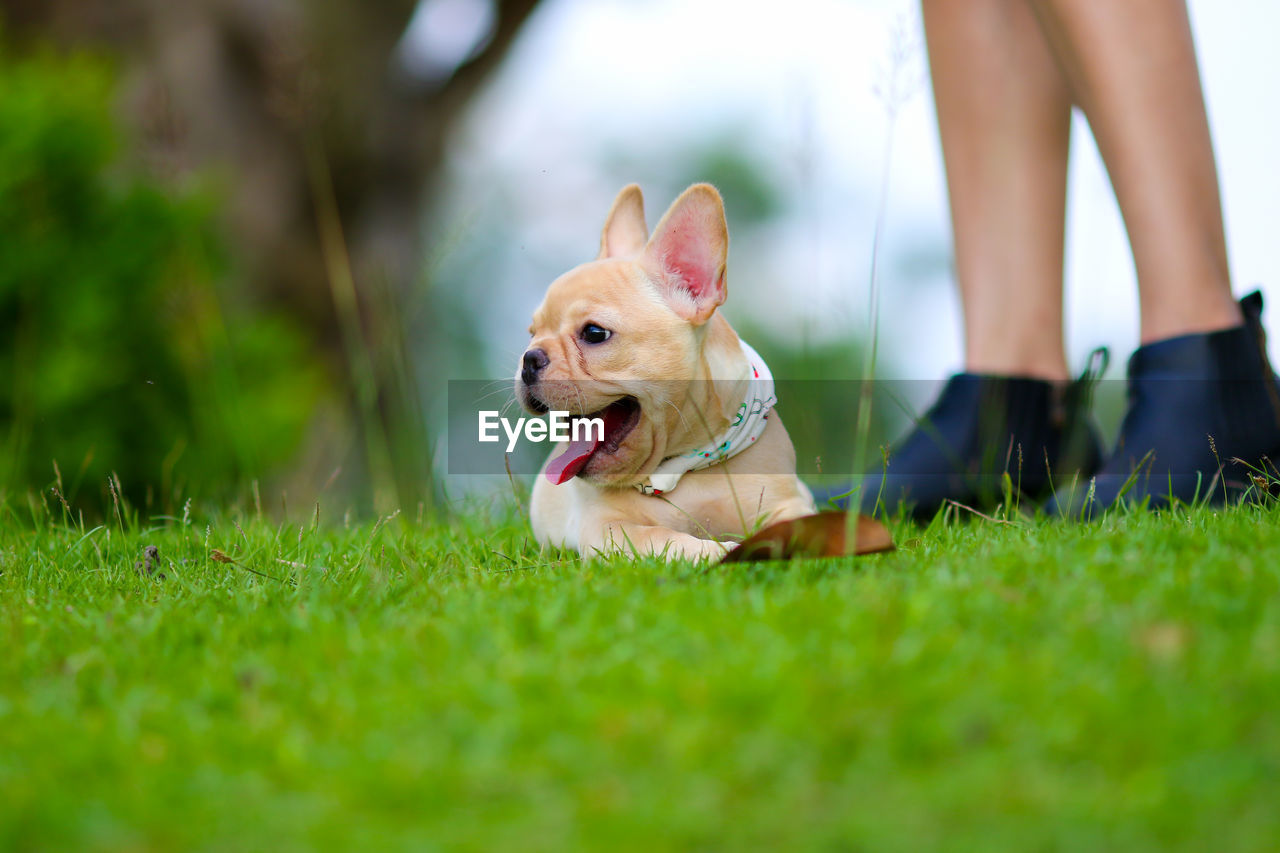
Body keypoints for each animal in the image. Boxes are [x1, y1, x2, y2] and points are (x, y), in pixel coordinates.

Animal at [514, 183, 814, 558]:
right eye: (531, 334)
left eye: (594, 333)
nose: (529, 359)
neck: (684, 462)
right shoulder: (607, 528)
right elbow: (661, 538)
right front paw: (715, 551)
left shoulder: (791, 503)